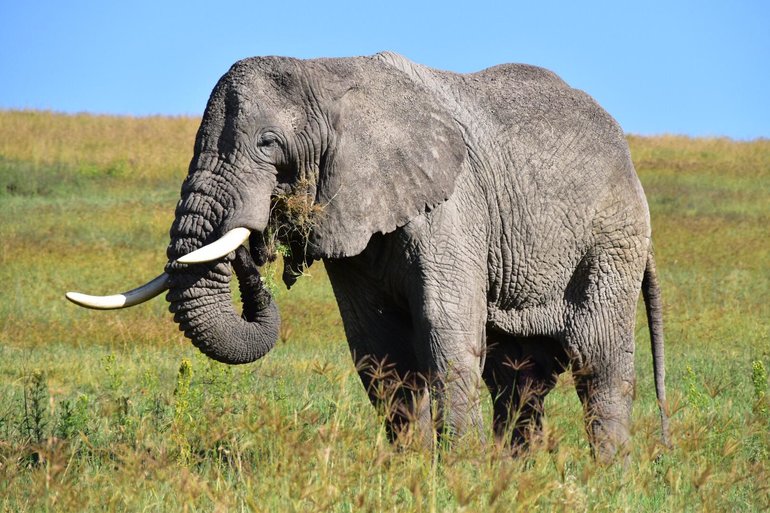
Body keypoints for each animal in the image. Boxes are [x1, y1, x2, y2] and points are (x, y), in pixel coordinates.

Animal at [66, 52, 664, 460]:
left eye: (267, 144)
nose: (252, 254)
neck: (327, 74)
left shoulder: (452, 205)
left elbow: (446, 332)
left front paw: (461, 474)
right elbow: (379, 351)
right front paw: (413, 470)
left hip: (612, 240)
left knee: (598, 361)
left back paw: (607, 476)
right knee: (520, 381)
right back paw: (515, 475)